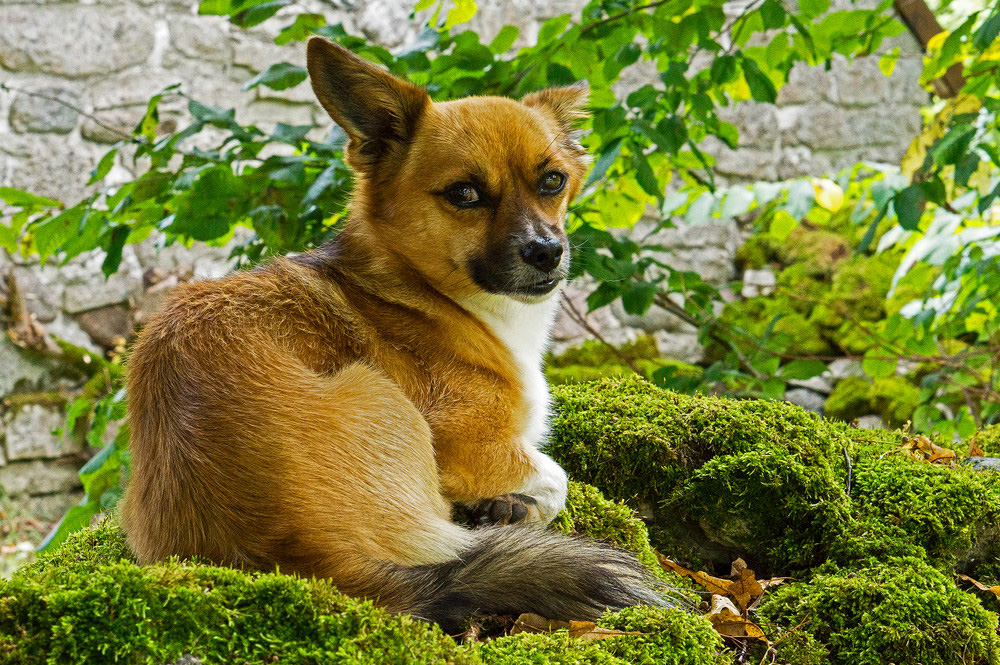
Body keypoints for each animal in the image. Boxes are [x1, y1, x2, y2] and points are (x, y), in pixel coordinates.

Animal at [121, 35, 668, 632]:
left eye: (553, 181)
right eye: (465, 194)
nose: (546, 252)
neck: (416, 286)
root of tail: (317, 564)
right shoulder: (472, 444)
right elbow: (555, 479)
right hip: (382, 397)